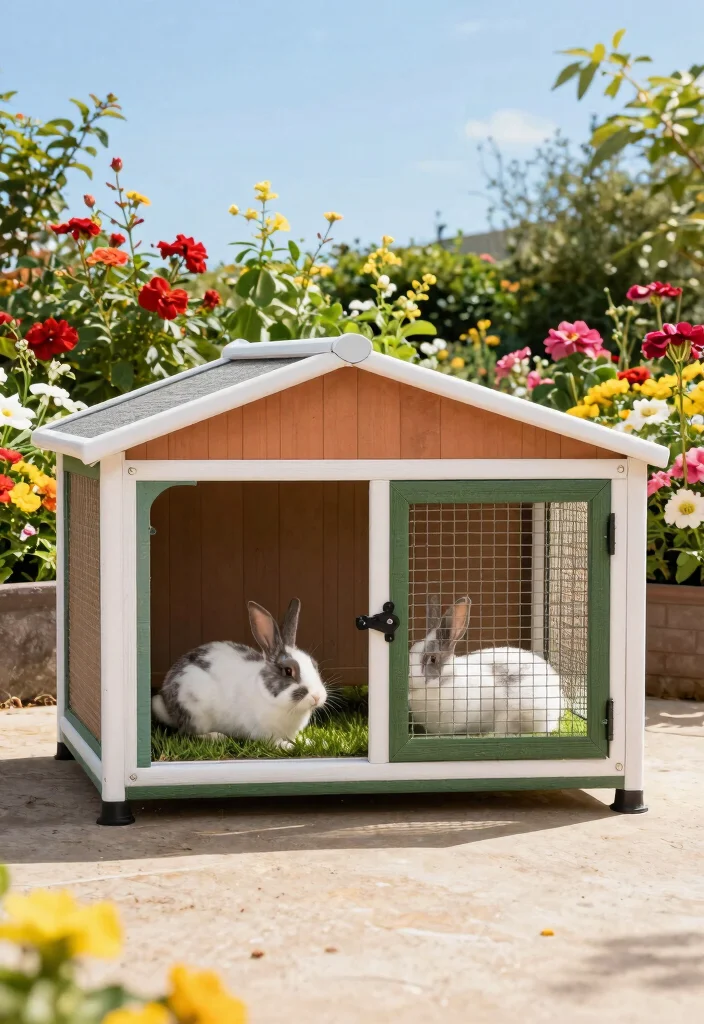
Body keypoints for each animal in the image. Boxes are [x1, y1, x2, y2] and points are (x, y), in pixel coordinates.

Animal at [151, 598, 327, 747]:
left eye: (314, 664)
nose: (317, 697)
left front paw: (310, 742)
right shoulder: (263, 733)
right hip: (195, 713)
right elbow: (275, 742)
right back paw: (216, 736)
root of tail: (168, 707)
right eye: (288, 671)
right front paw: (288, 746)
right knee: (187, 733)